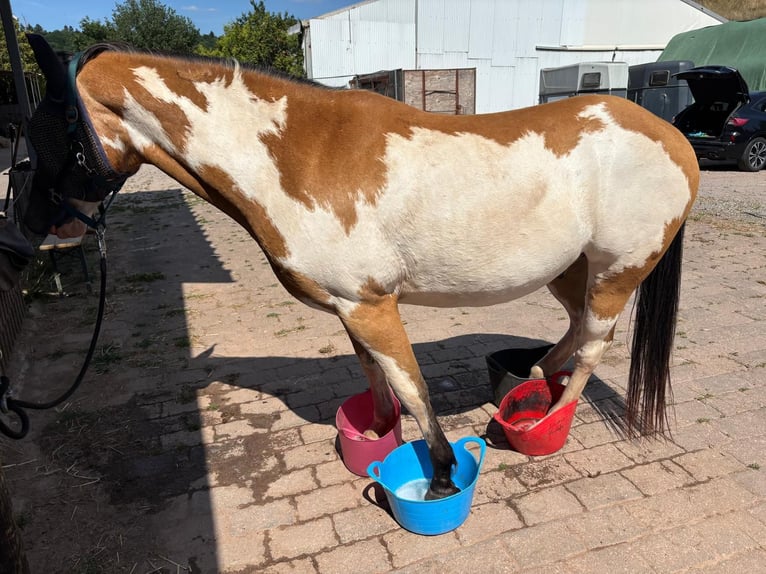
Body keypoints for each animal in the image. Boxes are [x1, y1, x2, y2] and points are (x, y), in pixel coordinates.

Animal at [24, 34, 698, 500]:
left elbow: (411, 386)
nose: (36, 229)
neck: (295, 155)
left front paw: (444, 476)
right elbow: (374, 374)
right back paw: (530, 380)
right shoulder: (350, 306)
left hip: (616, 274)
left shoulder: (373, 305)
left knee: (593, 344)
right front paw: (376, 435)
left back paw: (551, 419)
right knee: (572, 331)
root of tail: (673, 137)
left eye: (47, 133)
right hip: (570, 271)